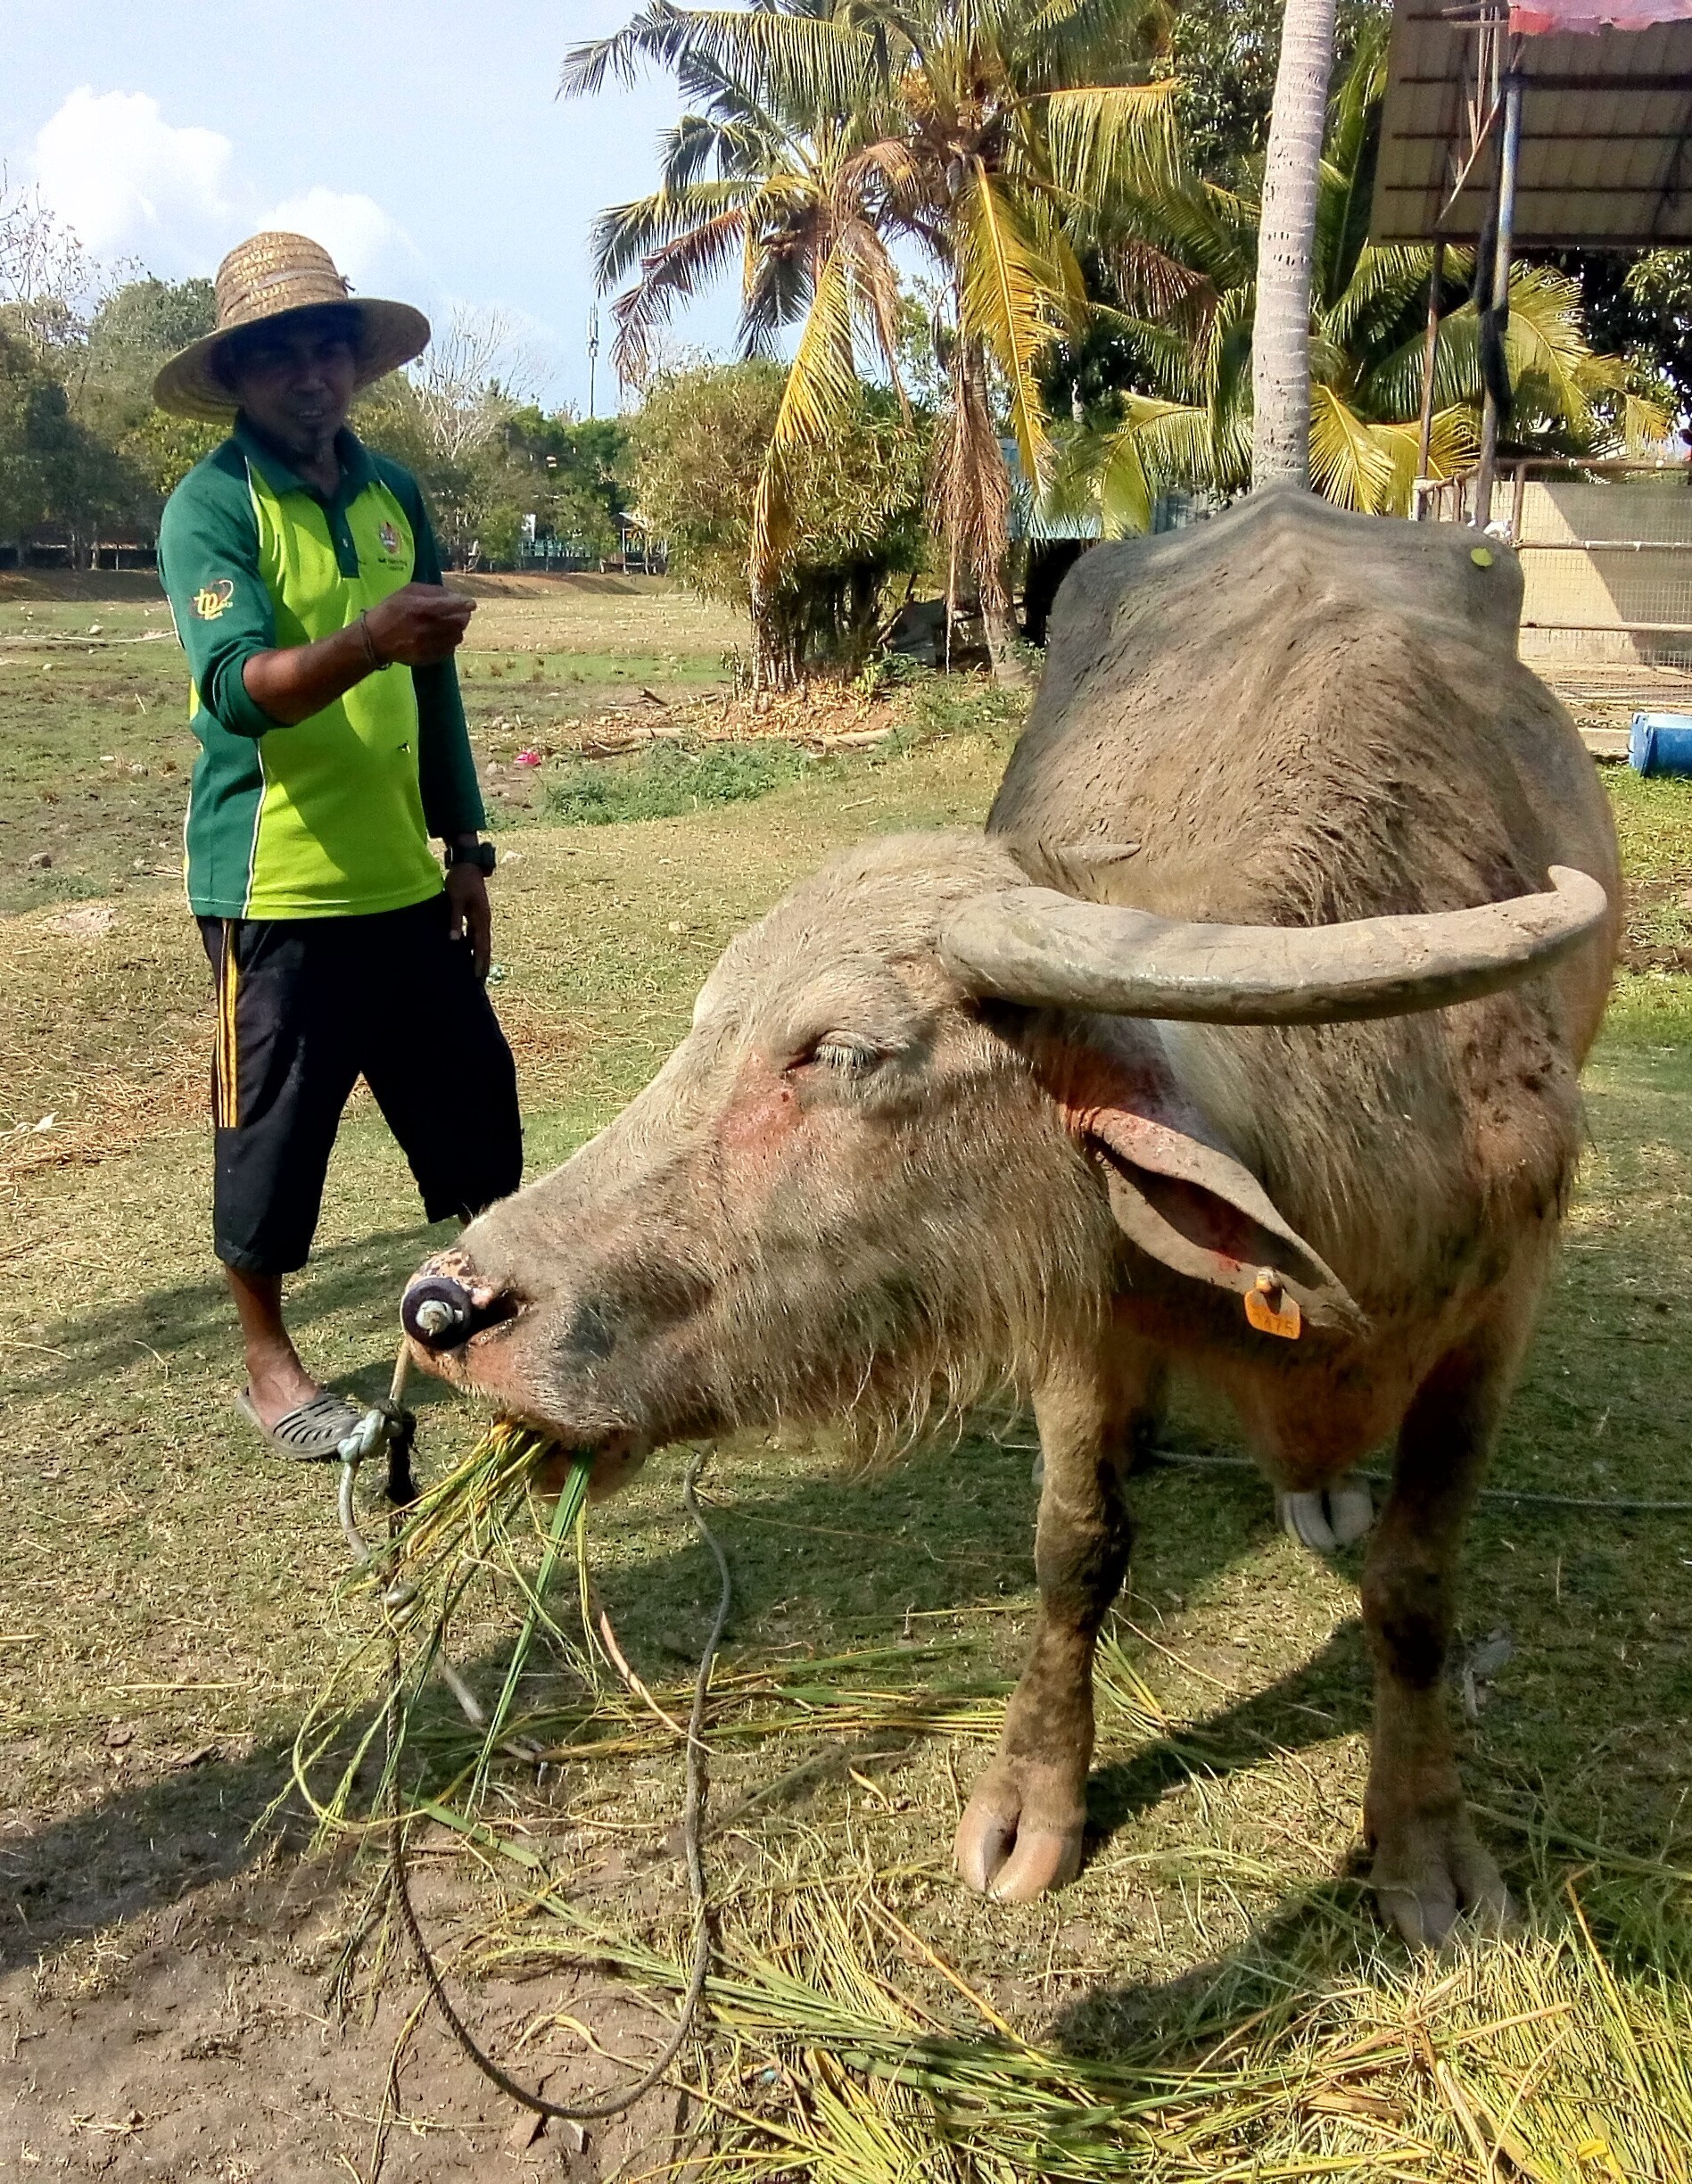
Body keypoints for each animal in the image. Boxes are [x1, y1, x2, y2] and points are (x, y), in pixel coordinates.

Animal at [403, 491, 1624, 1948]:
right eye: (706, 1025)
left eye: (839, 1052)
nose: (448, 1304)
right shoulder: (1078, 1315)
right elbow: (1073, 1552)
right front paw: (1030, 1802)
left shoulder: (1499, 1310)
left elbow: (1413, 1588)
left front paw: (1424, 1845)